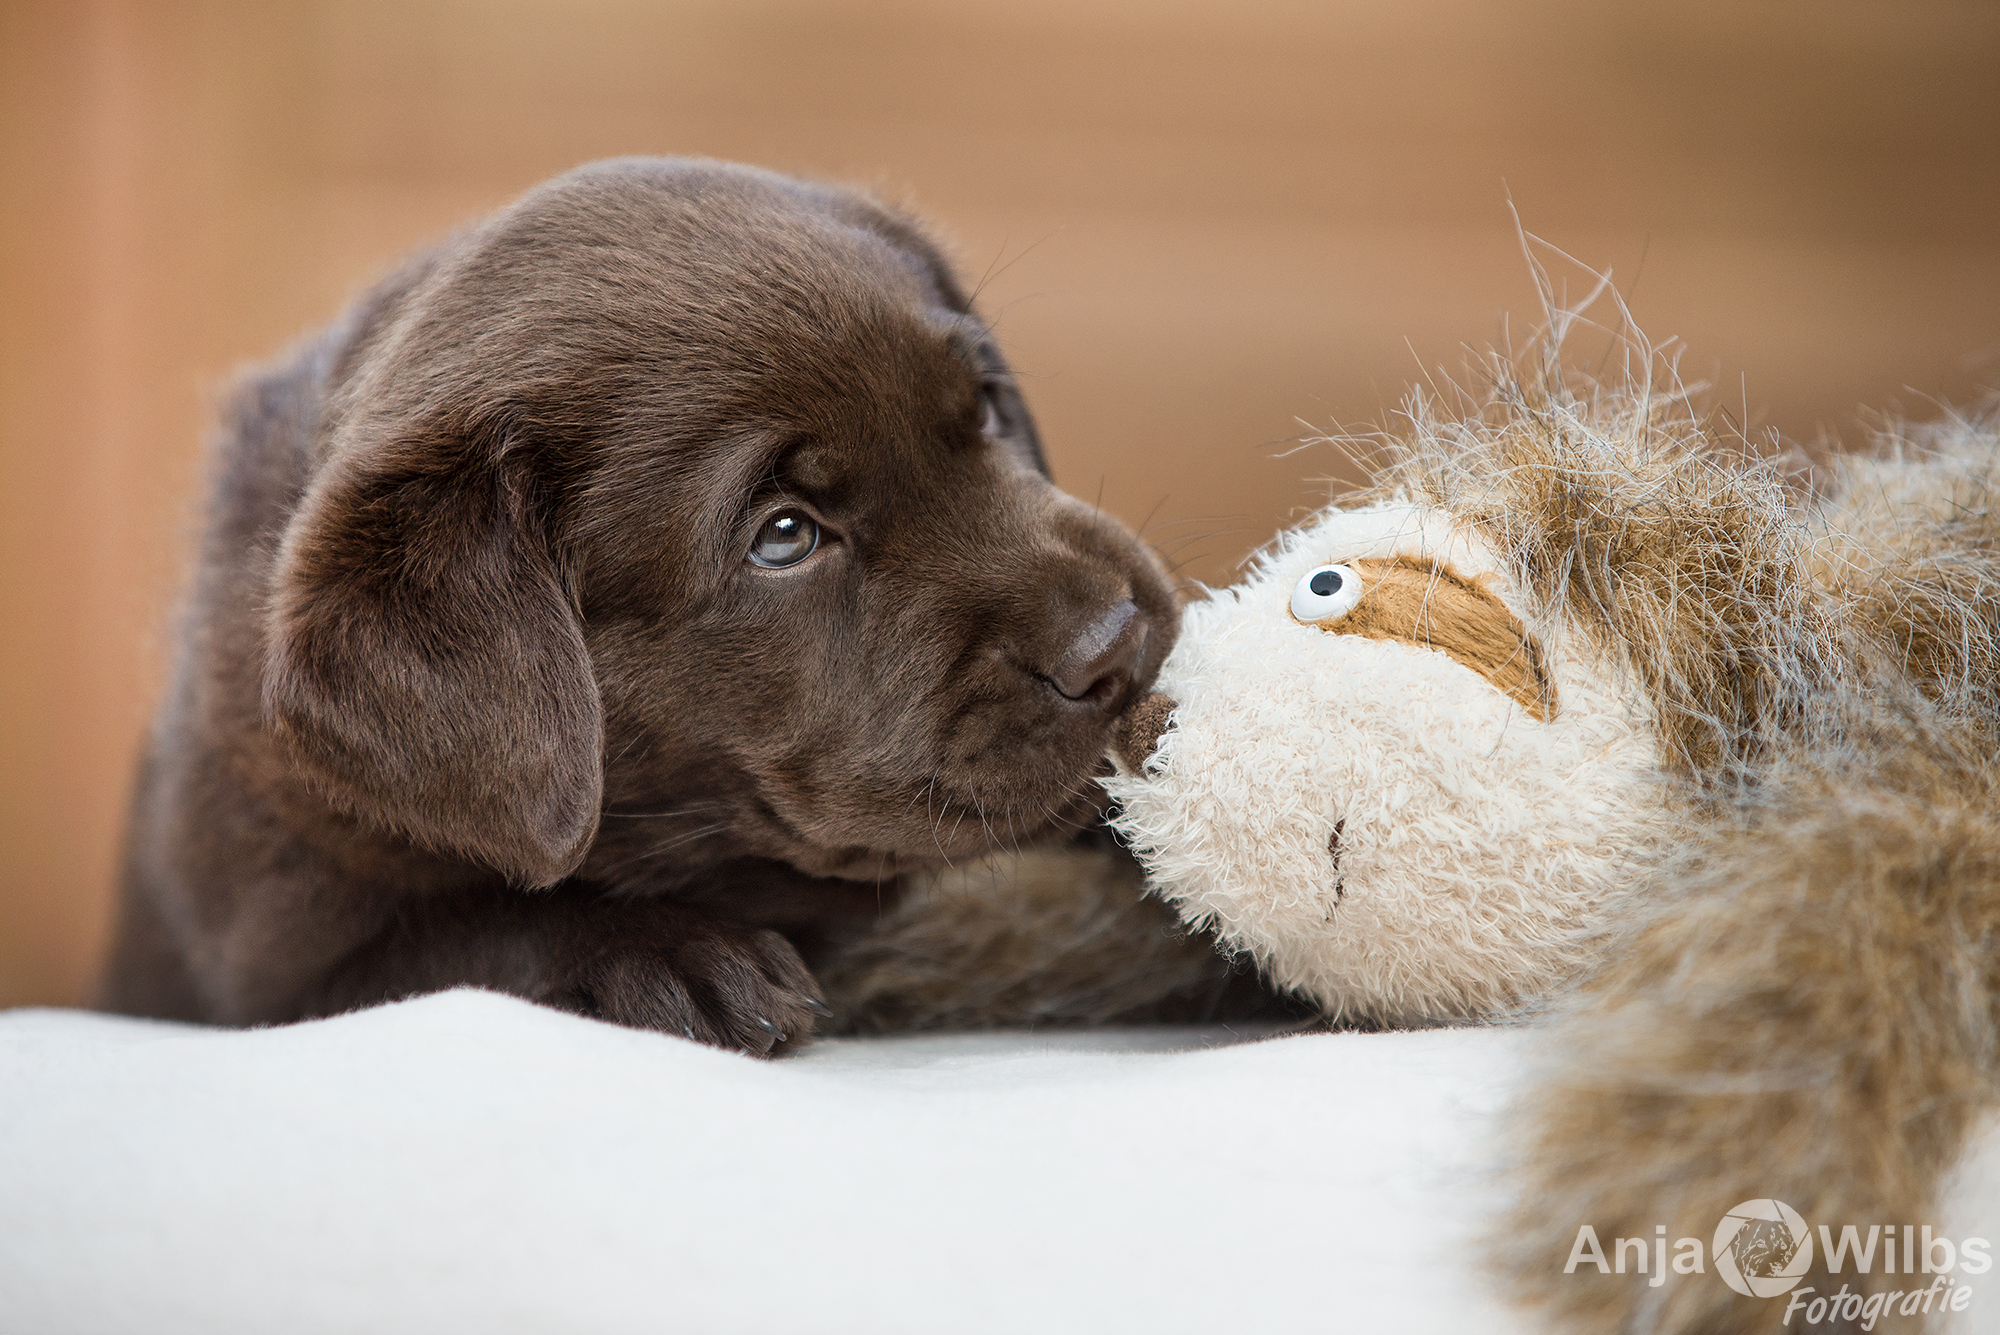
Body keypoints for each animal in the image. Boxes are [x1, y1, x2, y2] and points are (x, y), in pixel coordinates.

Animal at [101, 157, 1177, 1054]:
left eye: (987, 407)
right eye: (783, 536)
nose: (1118, 643)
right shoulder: (263, 956)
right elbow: (444, 943)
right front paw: (663, 954)